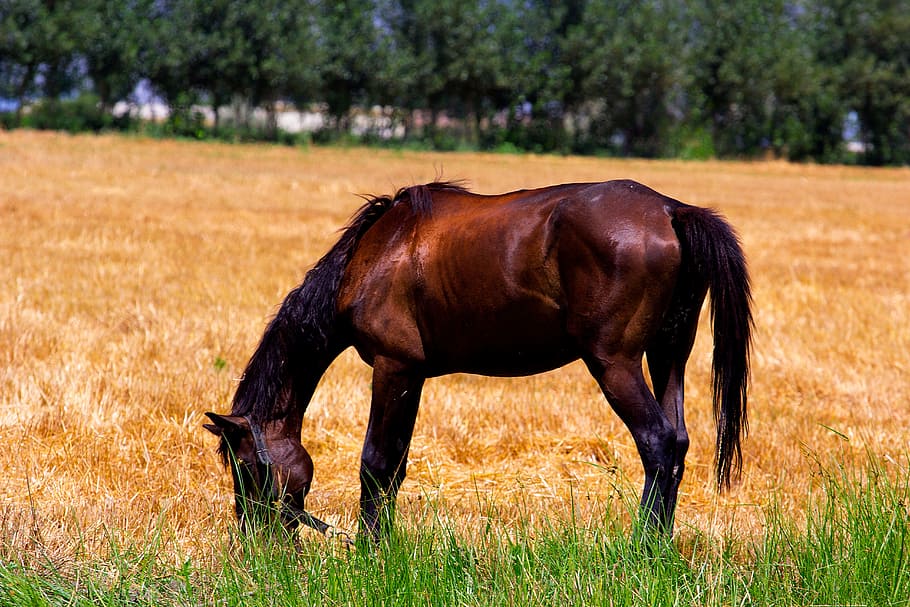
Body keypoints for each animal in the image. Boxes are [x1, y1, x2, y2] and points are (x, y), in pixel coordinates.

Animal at [204, 179, 752, 540]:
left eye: (246, 468)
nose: (256, 543)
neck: (375, 254)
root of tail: (671, 210)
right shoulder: (414, 375)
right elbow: (396, 466)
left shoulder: (392, 367)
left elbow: (375, 464)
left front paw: (369, 552)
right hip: (668, 357)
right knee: (677, 441)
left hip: (614, 363)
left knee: (657, 442)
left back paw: (642, 547)